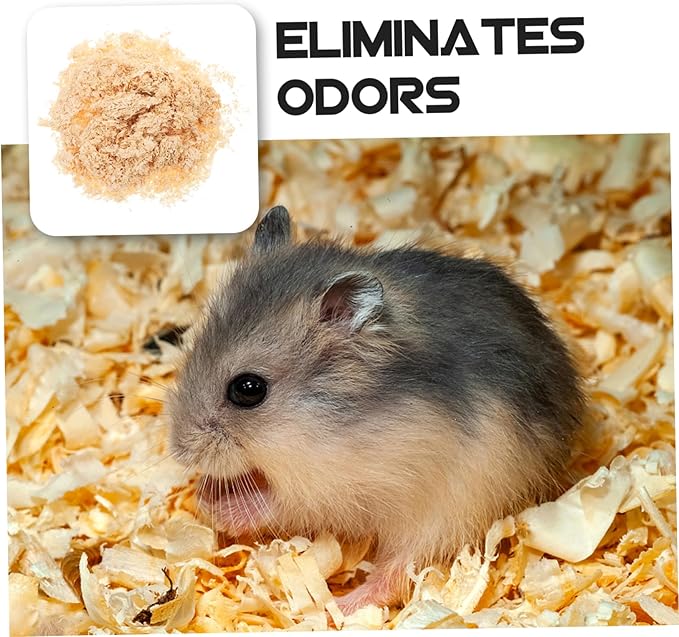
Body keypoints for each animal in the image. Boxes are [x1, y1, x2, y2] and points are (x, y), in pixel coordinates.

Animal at [169, 205, 588, 613]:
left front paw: (211, 503)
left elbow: (277, 502)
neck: (321, 419)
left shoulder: (334, 484)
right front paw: (204, 492)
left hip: (451, 511)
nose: (180, 452)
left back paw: (342, 606)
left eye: (248, 389)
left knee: (398, 574)